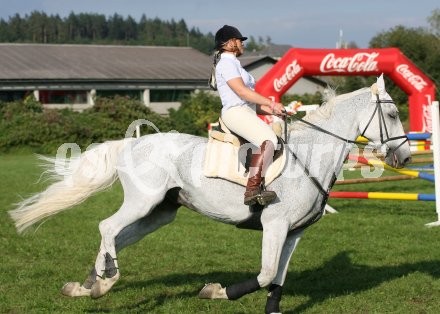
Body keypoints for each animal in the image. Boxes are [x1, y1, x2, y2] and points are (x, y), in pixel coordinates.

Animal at [8, 76, 410, 314]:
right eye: (391, 114)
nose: (404, 157)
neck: (311, 155)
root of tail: (132, 143)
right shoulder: (275, 224)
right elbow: (265, 274)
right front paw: (215, 293)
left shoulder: (294, 232)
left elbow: (277, 279)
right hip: (142, 202)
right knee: (107, 228)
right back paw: (103, 283)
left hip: (160, 213)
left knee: (117, 240)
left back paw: (87, 285)